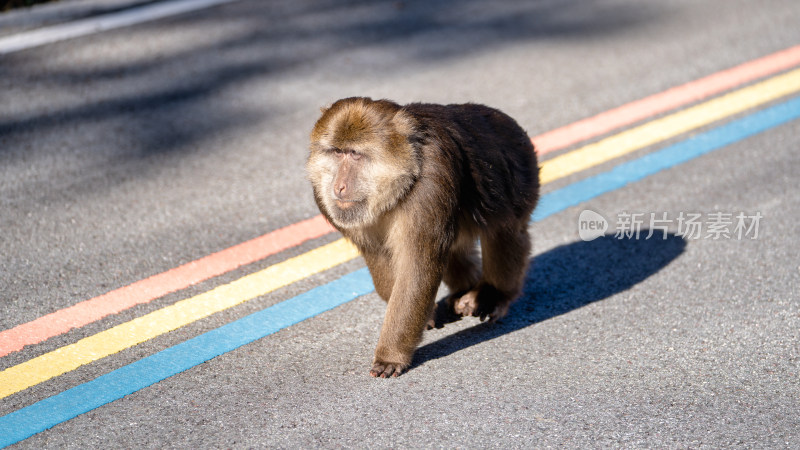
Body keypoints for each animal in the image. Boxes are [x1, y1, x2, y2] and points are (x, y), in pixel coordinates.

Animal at [304, 97, 536, 376]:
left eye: (355, 154)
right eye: (337, 152)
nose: (338, 186)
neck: (402, 180)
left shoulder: (431, 182)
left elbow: (418, 267)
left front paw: (391, 355)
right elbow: (379, 257)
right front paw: (427, 316)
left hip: (521, 172)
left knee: (504, 231)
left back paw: (493, 294)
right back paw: (466, 289)